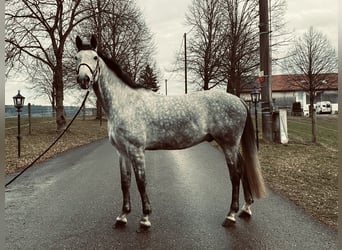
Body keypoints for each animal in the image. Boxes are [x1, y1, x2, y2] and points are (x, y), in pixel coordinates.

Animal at [75, 34, 268, 229]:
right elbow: (125, 183)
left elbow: (141, 182)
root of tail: (239, 100)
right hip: (232, 145)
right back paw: (246, 208)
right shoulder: (122, 152)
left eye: (95, 57)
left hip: (228, 144)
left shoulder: (136, 151)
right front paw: (122, 216)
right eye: (77, 57)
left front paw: (145, 217)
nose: (83, 79)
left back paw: (231, 215)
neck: (125, 103)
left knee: (235, 174)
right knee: (243, 167)